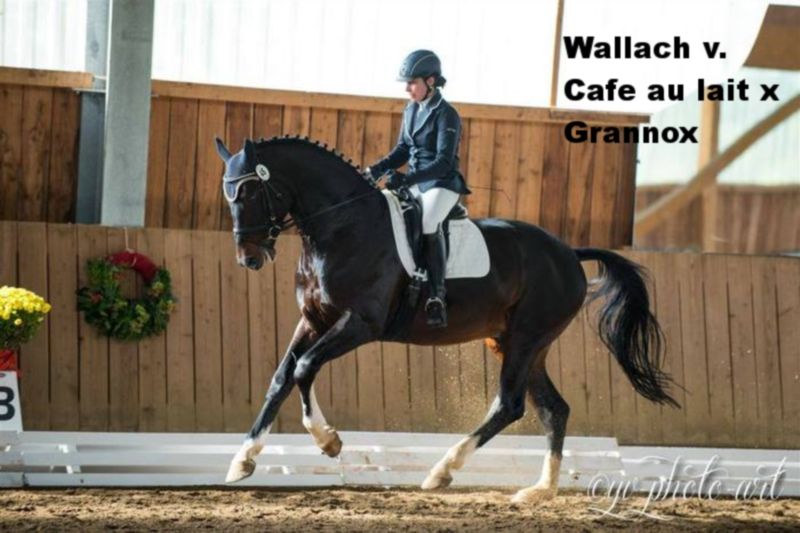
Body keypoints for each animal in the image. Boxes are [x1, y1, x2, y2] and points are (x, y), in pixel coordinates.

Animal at [214, 135, 677, 503]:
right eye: (228, 194)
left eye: (250, 192)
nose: (249, 258)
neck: (342, 226)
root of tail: (568, 252)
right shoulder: (312, 320)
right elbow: (281, 377)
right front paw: (242, 460)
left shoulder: (361, 323)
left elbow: (306, 367)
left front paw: (328, 441)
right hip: (518, 343)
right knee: (553, 409)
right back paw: (538, 490)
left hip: (526, 338)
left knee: (510, 405)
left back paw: (442, 471)